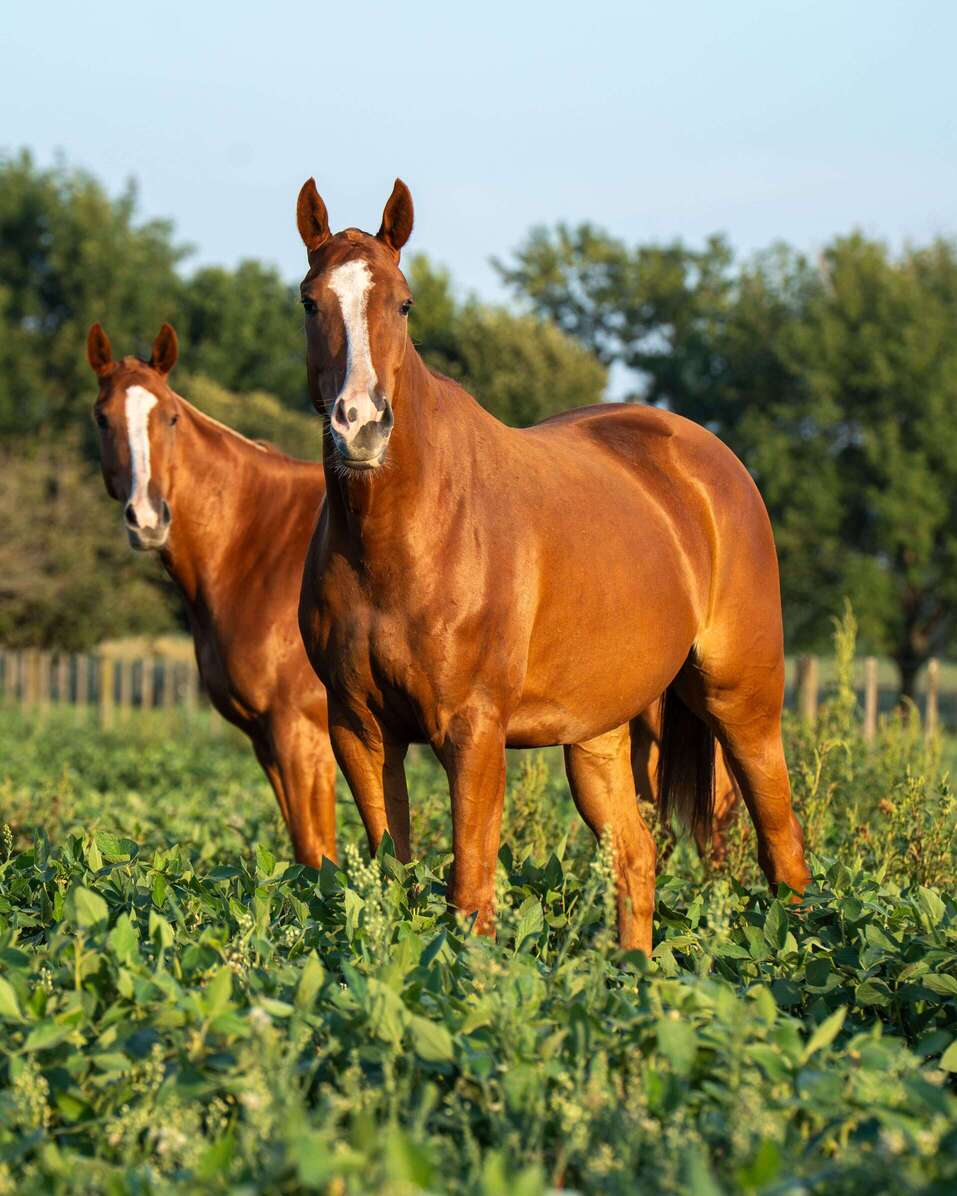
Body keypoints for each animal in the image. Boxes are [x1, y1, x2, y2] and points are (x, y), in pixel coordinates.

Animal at [86, 323, 337, 866]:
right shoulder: (266, 741)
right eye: (102, 418)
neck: (257, 541)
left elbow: (317, 852)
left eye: (171, 417)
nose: (148, 519)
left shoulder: (301, 733)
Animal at [294, 179, 810, 953]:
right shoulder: (359, 729)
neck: (401, 538)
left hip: (742, 704)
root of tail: (712, 464)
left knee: (783, 853)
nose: (360, 426)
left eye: (403, 303)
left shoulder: (473, 732)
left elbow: (470, 893)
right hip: (597, 735)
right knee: (635, 860)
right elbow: (392, 882)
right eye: (310, 301)